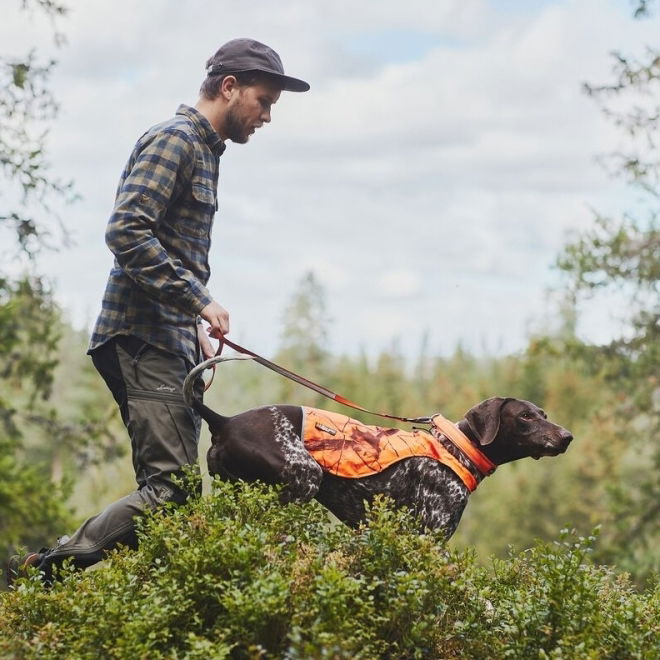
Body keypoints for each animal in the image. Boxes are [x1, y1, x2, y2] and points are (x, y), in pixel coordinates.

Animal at [187, 386, 572, 536]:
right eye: (525, 417)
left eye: (544, 414)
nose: (567, 436)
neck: (455, 448)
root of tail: (224, 421)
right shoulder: (428, 538)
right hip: (303, 478)